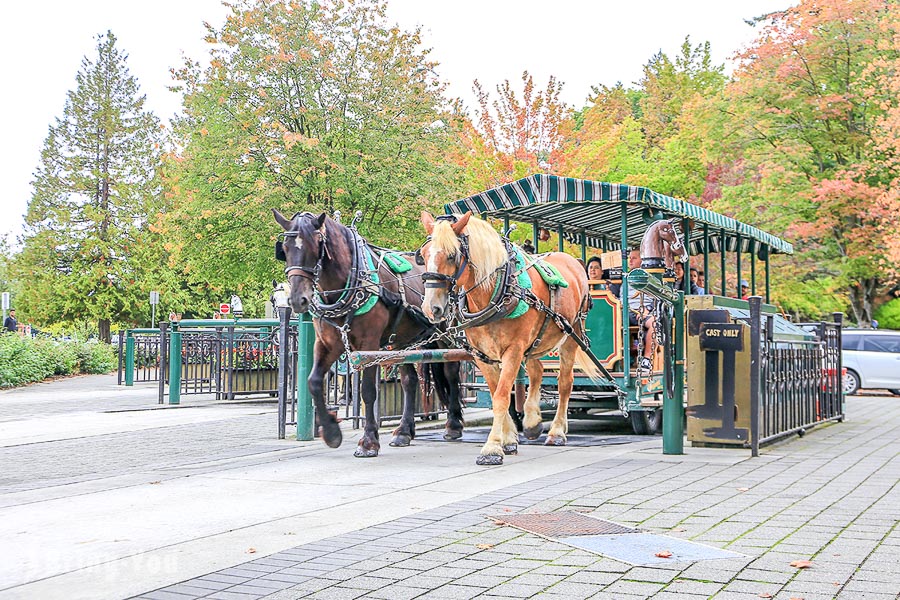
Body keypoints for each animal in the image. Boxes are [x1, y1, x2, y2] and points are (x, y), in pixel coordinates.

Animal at [274, 209, 464, 458]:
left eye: (316, 245)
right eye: (285, 249)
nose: (298, 300)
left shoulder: (369, 344)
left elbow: (368, 391)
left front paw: (369, 441)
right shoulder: (327, 343)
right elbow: (313, 381)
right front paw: (332, 432)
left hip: (444, 333)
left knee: (451, 372)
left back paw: (453, 424)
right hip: (402, 341)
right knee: (409, 380)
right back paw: (404, 431)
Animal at [418, 213, 600, 466]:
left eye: (452, 255)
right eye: (424, 254)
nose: (431, 308)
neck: (497, 290)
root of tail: (573, 261)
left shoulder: (513, 351)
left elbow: (502, 396)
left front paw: (492, 448)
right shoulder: (482, 355)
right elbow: (497, 393)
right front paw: (509, 438)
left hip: (571, 334)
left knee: (565, 382)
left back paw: (556, 431)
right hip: (537, 340)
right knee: (537, 370)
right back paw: (532, 421)